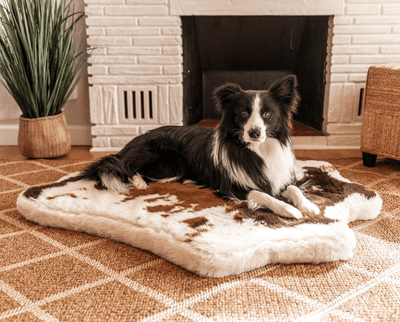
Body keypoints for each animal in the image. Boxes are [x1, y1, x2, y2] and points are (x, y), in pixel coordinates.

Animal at [80, 75, 318, 219]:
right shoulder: (232, 187)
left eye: (267, 114)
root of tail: (134, 142)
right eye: (243, 113)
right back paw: (138, 182)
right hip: (166, 163)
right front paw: (289, 210)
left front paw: (308, 206)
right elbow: (264, 195)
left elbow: (294, 188)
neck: (258, 150)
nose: (254, 133)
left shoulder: (281, 176)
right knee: (124, 167)